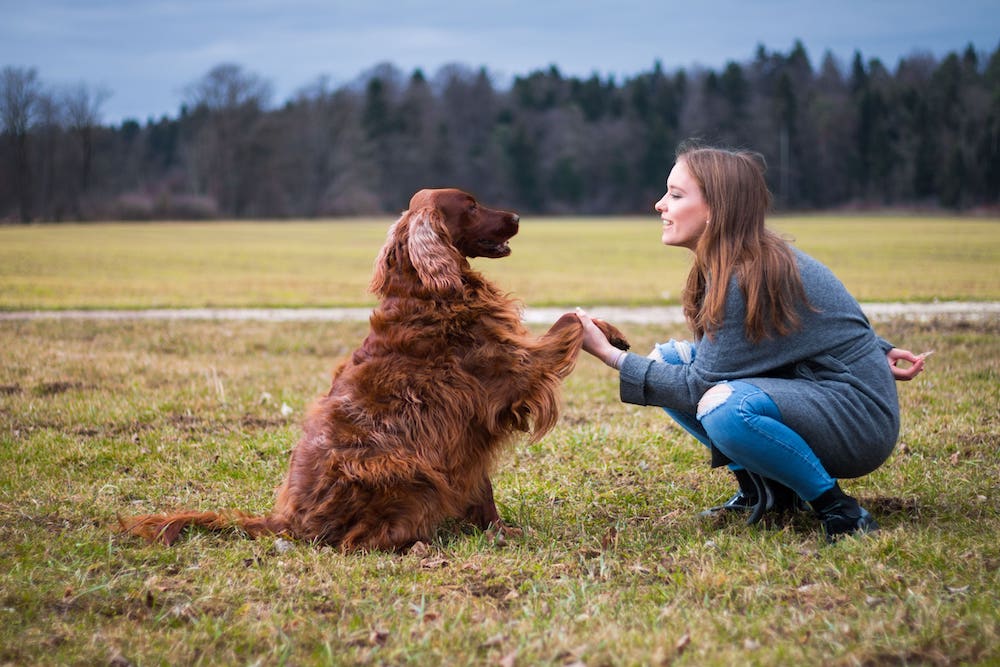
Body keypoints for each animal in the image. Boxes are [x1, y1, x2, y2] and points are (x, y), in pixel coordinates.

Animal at [121, 189, 628, 552]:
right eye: (470, 205)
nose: (519, 217)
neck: (426, 292)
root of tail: (287, 521)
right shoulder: (513, 371)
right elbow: (568, 321)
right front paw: (603, 331)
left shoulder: (466, 432)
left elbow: (482, 491)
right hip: (407, 469)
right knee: (356, 543)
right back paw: (418, 546)